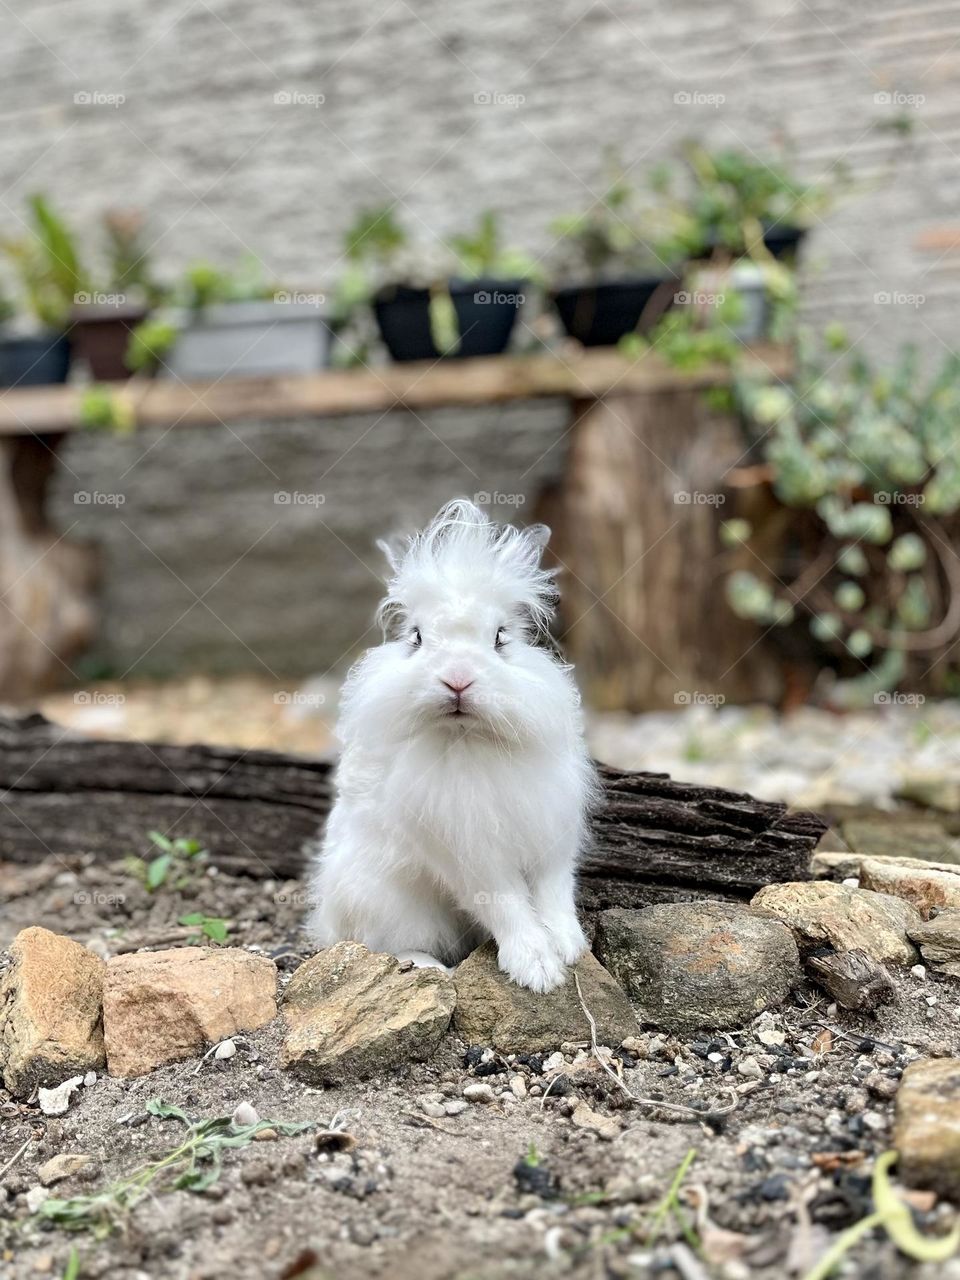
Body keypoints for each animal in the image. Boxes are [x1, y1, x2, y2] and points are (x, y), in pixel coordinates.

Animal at [306, 498, 598, 993]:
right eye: (417, 637)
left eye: (500, 637)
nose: (457, 680)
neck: (469, 738)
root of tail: (328, 918)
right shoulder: (468, 855)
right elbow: (506, 904)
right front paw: (537, 970)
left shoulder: (551, 834)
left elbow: (554, 892)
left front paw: (570, 946)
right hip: (390, 904)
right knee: (383, 943)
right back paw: (425, 968)